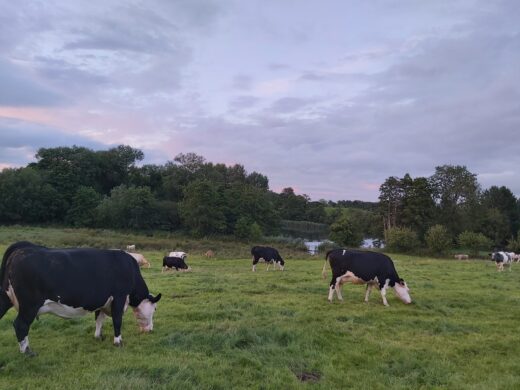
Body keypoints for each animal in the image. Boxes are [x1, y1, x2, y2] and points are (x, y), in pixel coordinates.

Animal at [0, 242, 161, 358]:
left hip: (6, 298)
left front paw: (98, 336)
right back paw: (27, 351)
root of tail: (22, 249)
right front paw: (118, 341)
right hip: (29, 305)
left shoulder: (102, 301)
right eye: (154, 309)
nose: (151, 329)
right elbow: (117, 320)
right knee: (20, 325)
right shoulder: (119, 297)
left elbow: (99, 319)